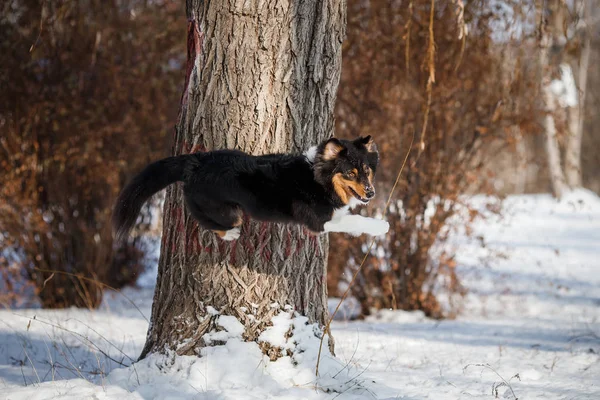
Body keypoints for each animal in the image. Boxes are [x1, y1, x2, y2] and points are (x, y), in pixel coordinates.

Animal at [112, 135, 390, 241]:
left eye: (367, 171)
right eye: (350, 173)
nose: (371, 193)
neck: (318, 179)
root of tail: (196, 162)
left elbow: (350, 220)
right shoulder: (319, 222)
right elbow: (355, 220)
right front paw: (382, 227)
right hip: (225, 211)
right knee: (208, 222)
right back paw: (230, 235)